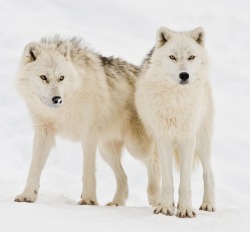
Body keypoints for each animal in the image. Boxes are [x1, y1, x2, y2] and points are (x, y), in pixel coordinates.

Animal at [15, 36, 160, 207]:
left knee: (154, 161)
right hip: (106, 151)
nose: (57, 99)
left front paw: (88, 200)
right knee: (124, 177)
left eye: (61, 78)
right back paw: (116, 203)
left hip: (136, 146)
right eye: (43, 77)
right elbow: (34, 167)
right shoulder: (43, 132)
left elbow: (88, 171)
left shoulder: (88, 135)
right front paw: (27, 195)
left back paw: (155, 198)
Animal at [136, 27, 216, 218]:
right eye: (172, 57)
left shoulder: (188, 139)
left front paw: (185, 209)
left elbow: (185, 182)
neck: (176, 101)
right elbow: (167, 180)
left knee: (208, 173)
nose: (184, 75)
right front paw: (165, 207)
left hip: (202, 141)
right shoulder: (163, 139)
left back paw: (208, 204)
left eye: (191, 57)